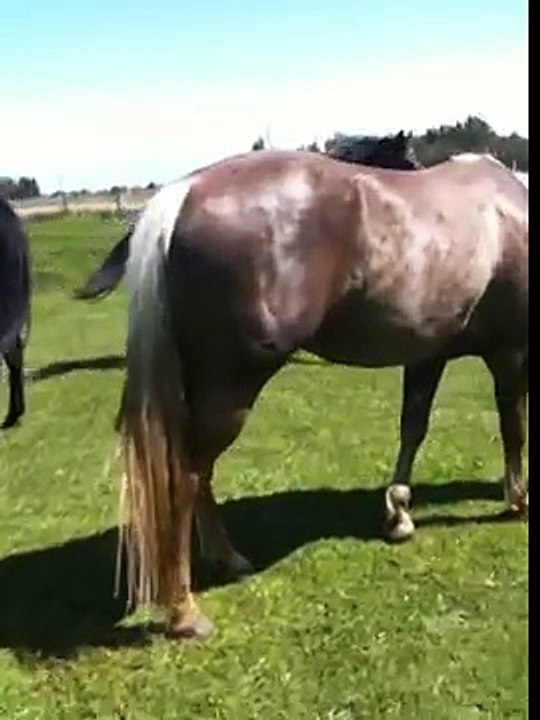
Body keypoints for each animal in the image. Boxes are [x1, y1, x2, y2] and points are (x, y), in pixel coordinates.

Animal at [113, 147, 527, 639]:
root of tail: (183, 194)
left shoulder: (429, 354)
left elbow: (413, 426)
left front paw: (399, 514)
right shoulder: (509, 352)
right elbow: (513, 428)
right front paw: (518, 500)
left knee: (200, 475)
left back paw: (227, 559)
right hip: (230, 391)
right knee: (185, 478)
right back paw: (184, 611)